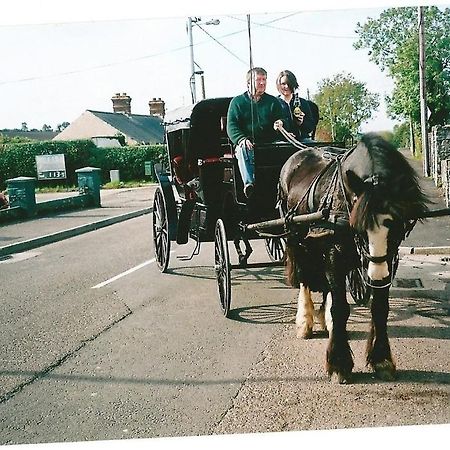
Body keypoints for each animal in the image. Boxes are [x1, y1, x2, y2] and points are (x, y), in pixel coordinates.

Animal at [278, 133, 428, 384]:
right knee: (305, 277)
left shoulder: (390, 260)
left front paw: (382, 360)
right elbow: (341, 308)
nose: (376, 276)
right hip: (295, 238)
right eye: (358, 228)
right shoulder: (334, 251)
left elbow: (380, 307)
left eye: (397, 226)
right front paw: (339, 364)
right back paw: (305, 321)